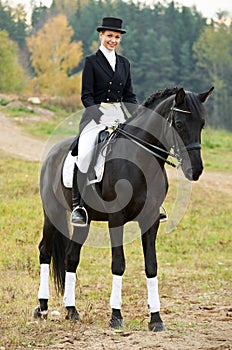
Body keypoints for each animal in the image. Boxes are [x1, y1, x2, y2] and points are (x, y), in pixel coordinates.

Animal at [34, 87, 214, 330]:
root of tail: (53, 152)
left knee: (71, 257)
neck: (139, 160)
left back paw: (72, 310)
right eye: (178, 124)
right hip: (51, 214)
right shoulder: (116, 219)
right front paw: (116, 316)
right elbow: (118, 264)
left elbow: (151, 266)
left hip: (84, 222)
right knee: (45, 251)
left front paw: (156, 318)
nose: (195, 170)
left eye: (202, 124)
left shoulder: (150, 221)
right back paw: (42, 308)